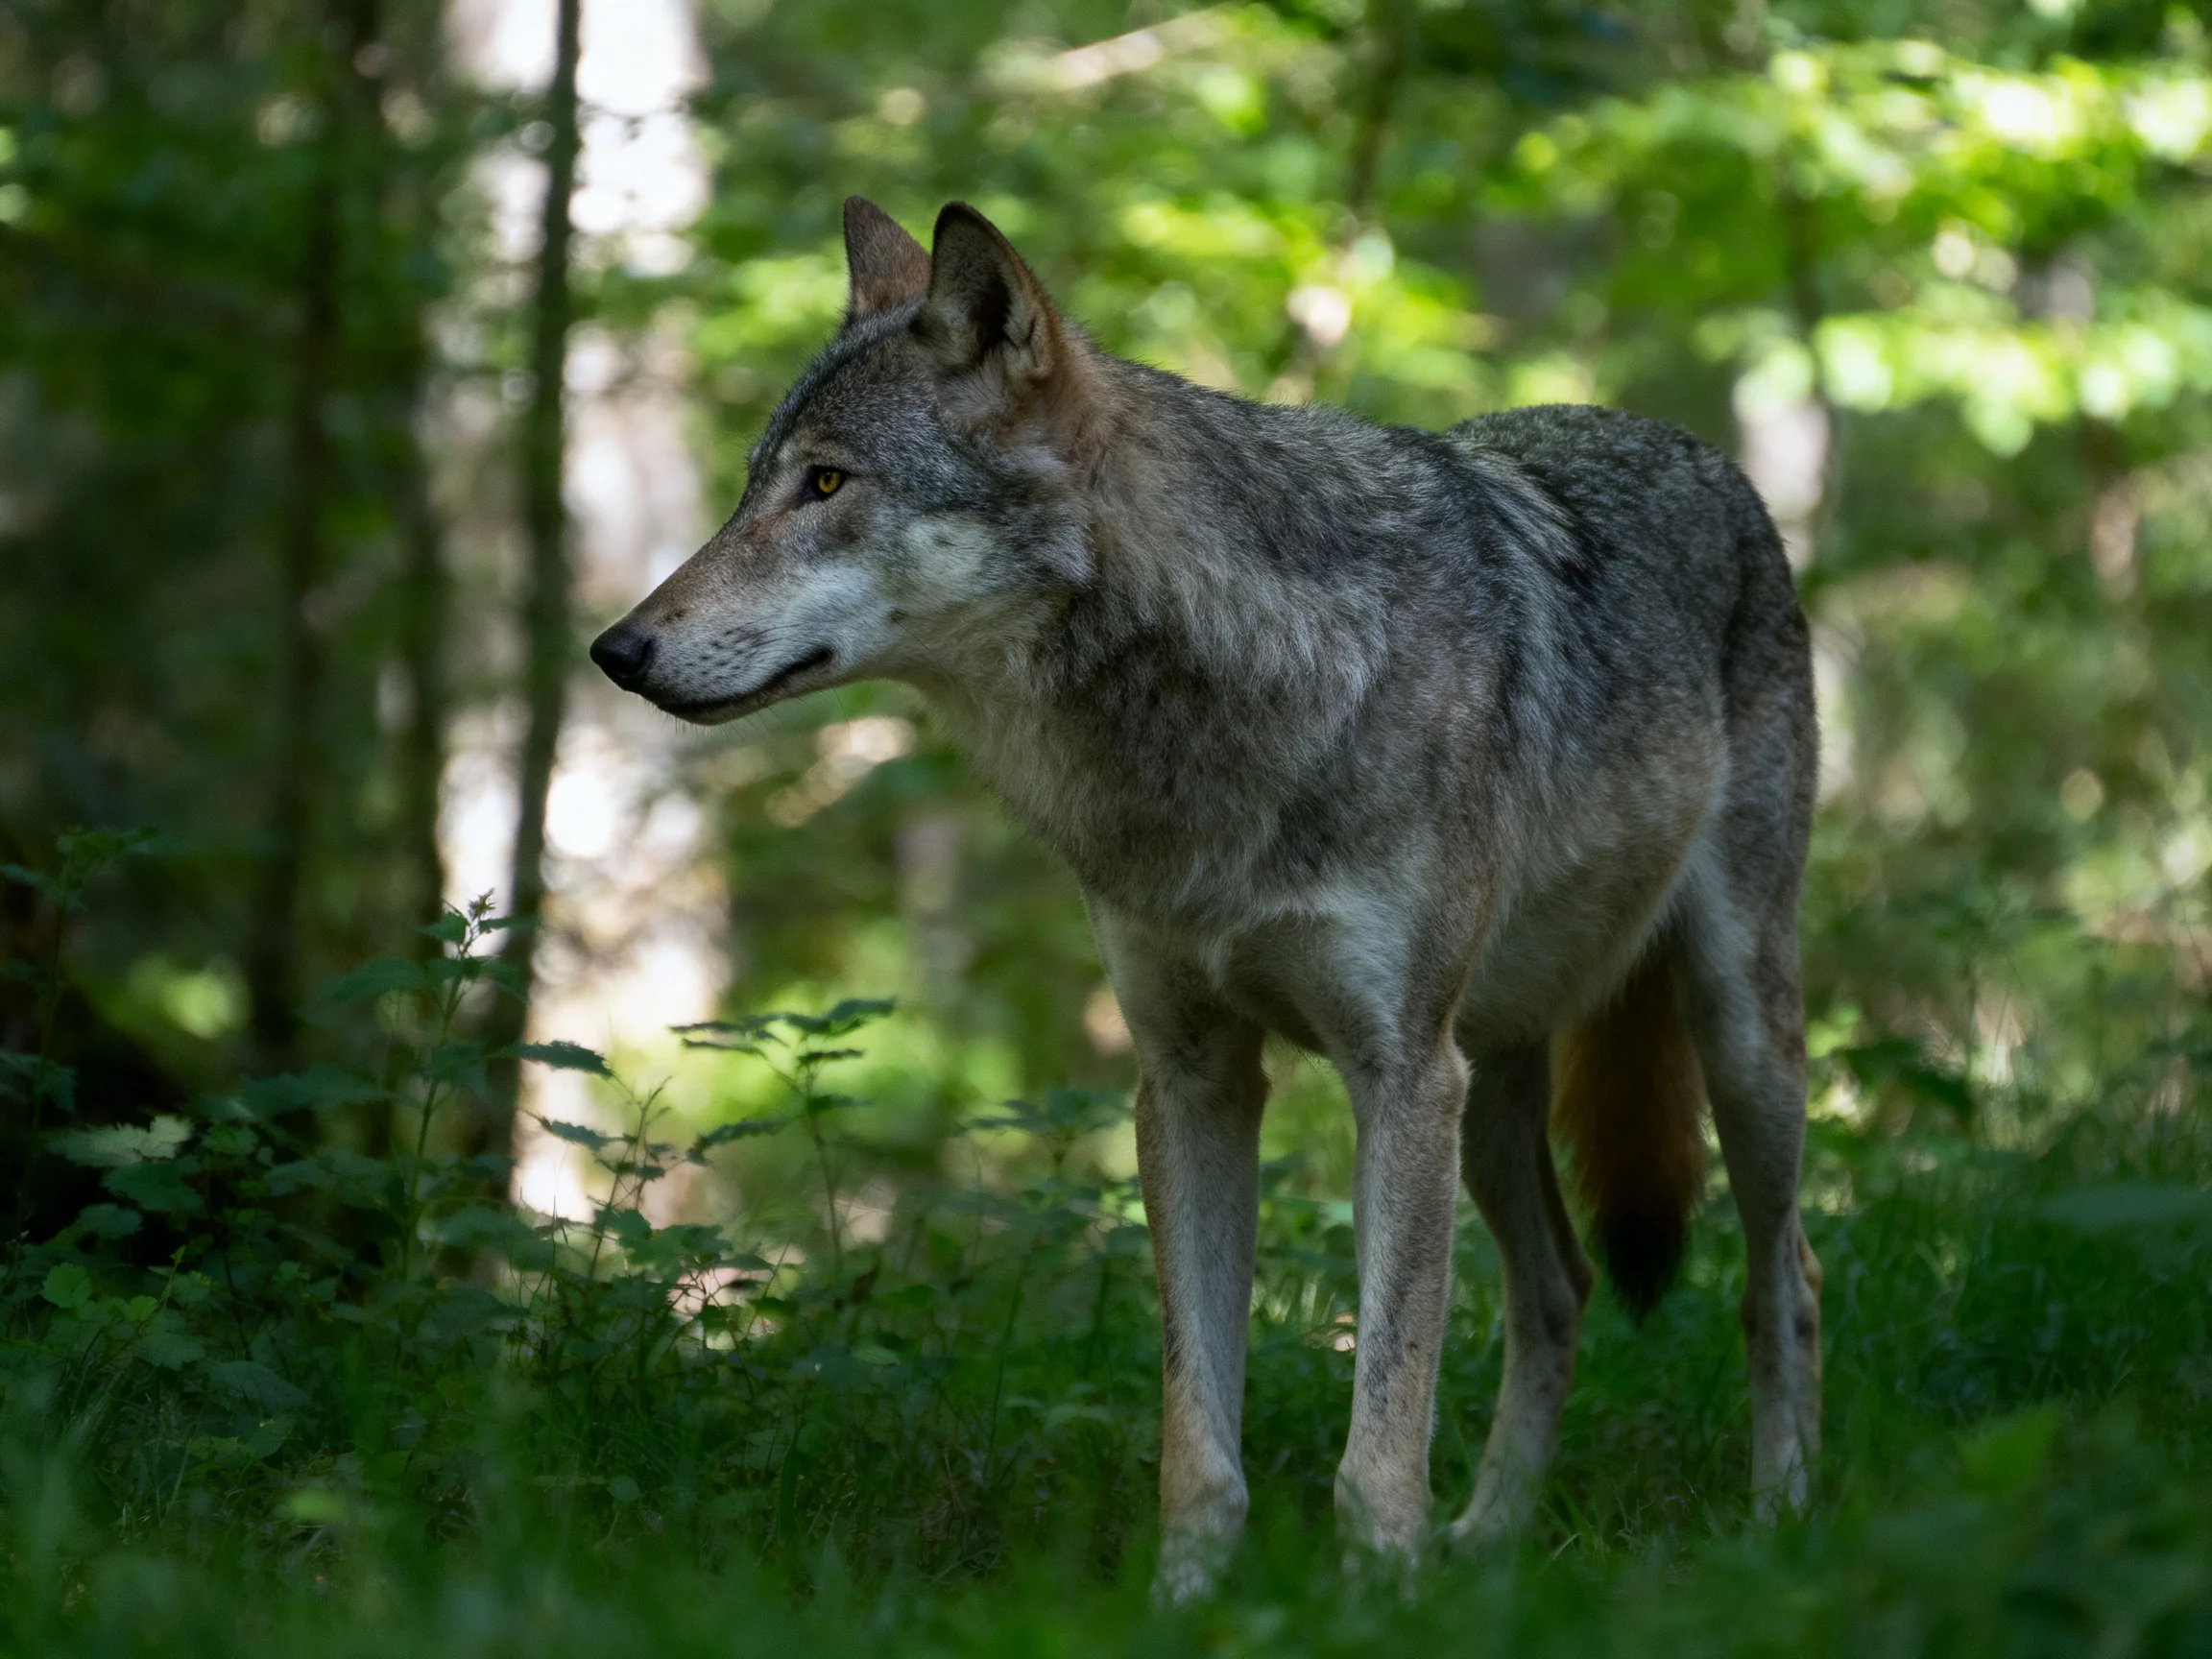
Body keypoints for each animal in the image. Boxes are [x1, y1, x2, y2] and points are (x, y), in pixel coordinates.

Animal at [591, 198, 1822, 1593]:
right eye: (758, 480)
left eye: (829, 484)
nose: (616, 650)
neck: (1216, 724)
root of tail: (1698, 451)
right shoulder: (1190, 1077)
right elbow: (1198, 1427)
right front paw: (1190, 1601)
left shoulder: (1396, 1071)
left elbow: (1381, 1419)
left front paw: (1374, 1599)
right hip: (1489, 1092)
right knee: (1559, 1287)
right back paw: (1491, 1543)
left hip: (1723, 1043)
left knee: (1783, 1278)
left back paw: (1779, 1521)